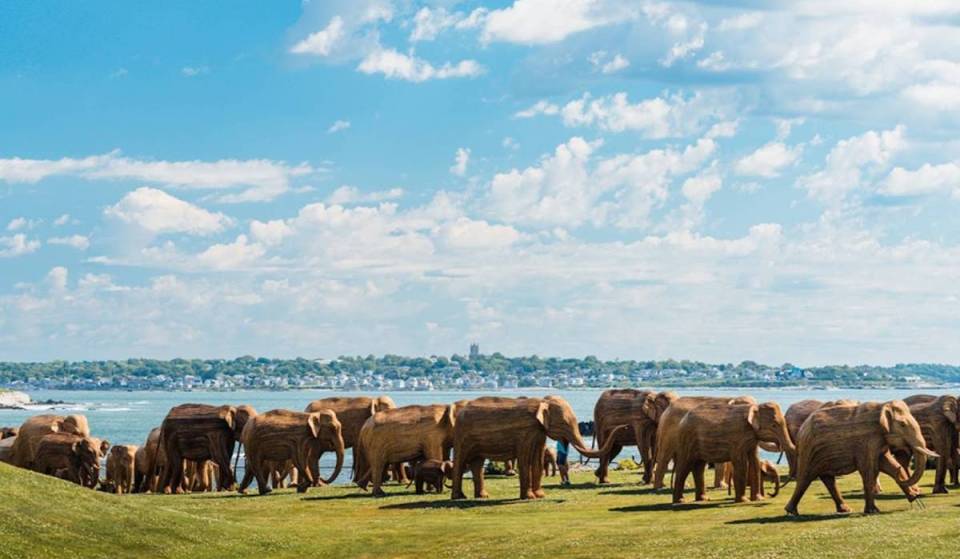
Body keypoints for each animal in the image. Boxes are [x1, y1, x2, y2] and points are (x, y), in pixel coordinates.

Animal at [450, 396, 623, 501]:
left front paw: (540, 495)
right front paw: (529, 497)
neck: (542, 401)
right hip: (462, 436)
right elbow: (525, 459)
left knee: (477, 464)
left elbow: (537, 459)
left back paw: (483, 496)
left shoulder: (538, 433)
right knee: (460, 461)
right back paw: (459, 497)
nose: (624, 426)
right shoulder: (526, 432)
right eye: (563, 423)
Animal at [784, 400, 935, 515]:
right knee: (805, 478)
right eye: (903, 425)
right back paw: (791, 513)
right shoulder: (867, 441)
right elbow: (869, 471)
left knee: (828, 479)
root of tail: (801, 431)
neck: (882, 406)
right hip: (809, 450)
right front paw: (873, 511)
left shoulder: (878, 441)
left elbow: (889, 465)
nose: (918, 495)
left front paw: (913, 497)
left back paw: (845, 510)